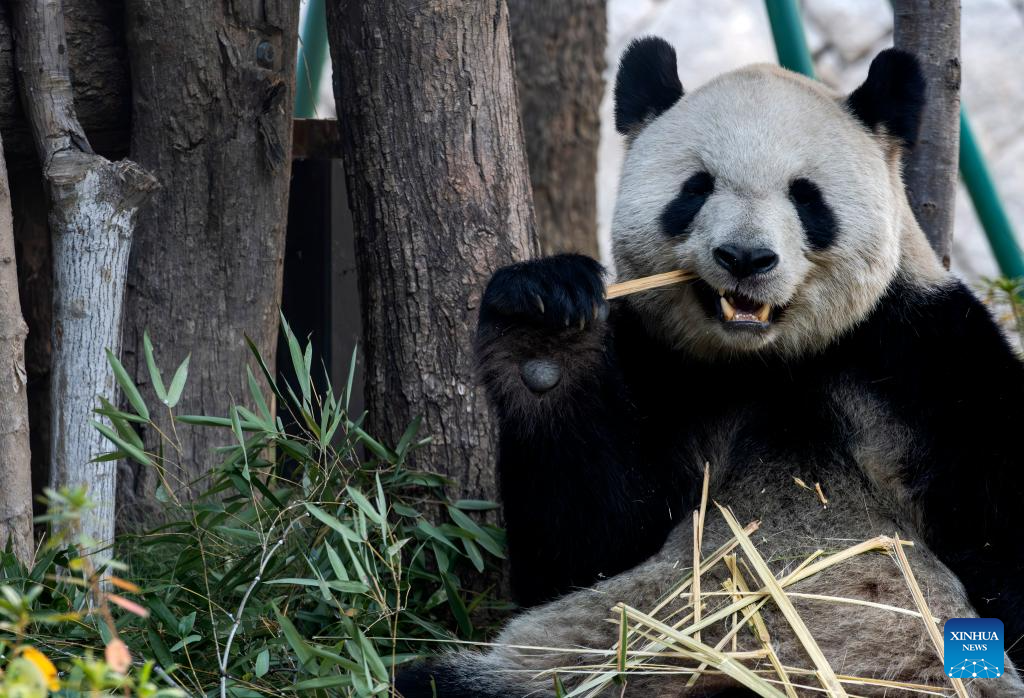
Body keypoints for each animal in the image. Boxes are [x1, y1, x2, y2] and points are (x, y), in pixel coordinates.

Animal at [397, 37, 1024, 697]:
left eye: (806, 196)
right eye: (696, 188)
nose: (745, 257)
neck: (768, 362)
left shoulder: (923, 363)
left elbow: (998, 526)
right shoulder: (664, 370)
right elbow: (586, 544)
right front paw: (542, 327)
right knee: (441, 680)